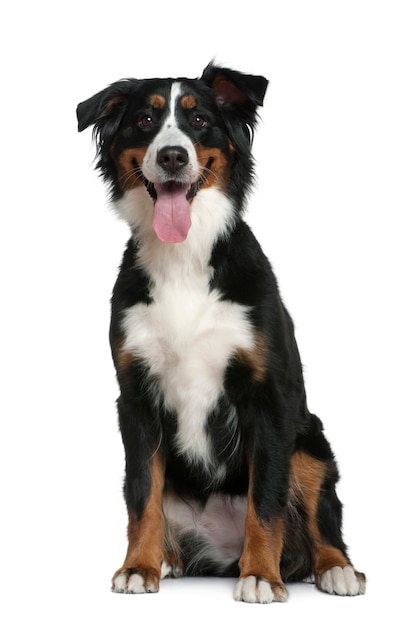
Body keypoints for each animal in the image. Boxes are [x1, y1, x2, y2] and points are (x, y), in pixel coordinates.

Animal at [77, 62, 364, 600]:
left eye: (200, 121)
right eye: (145, 119)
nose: (172, 155)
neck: (184, 259)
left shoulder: (268, 397)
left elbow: (265, 500)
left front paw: (261, 576)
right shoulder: (136, 396)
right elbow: (141, 495)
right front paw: (138, 567)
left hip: (309, 442)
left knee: (321, 521)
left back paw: (336, 569)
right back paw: (168, 560)